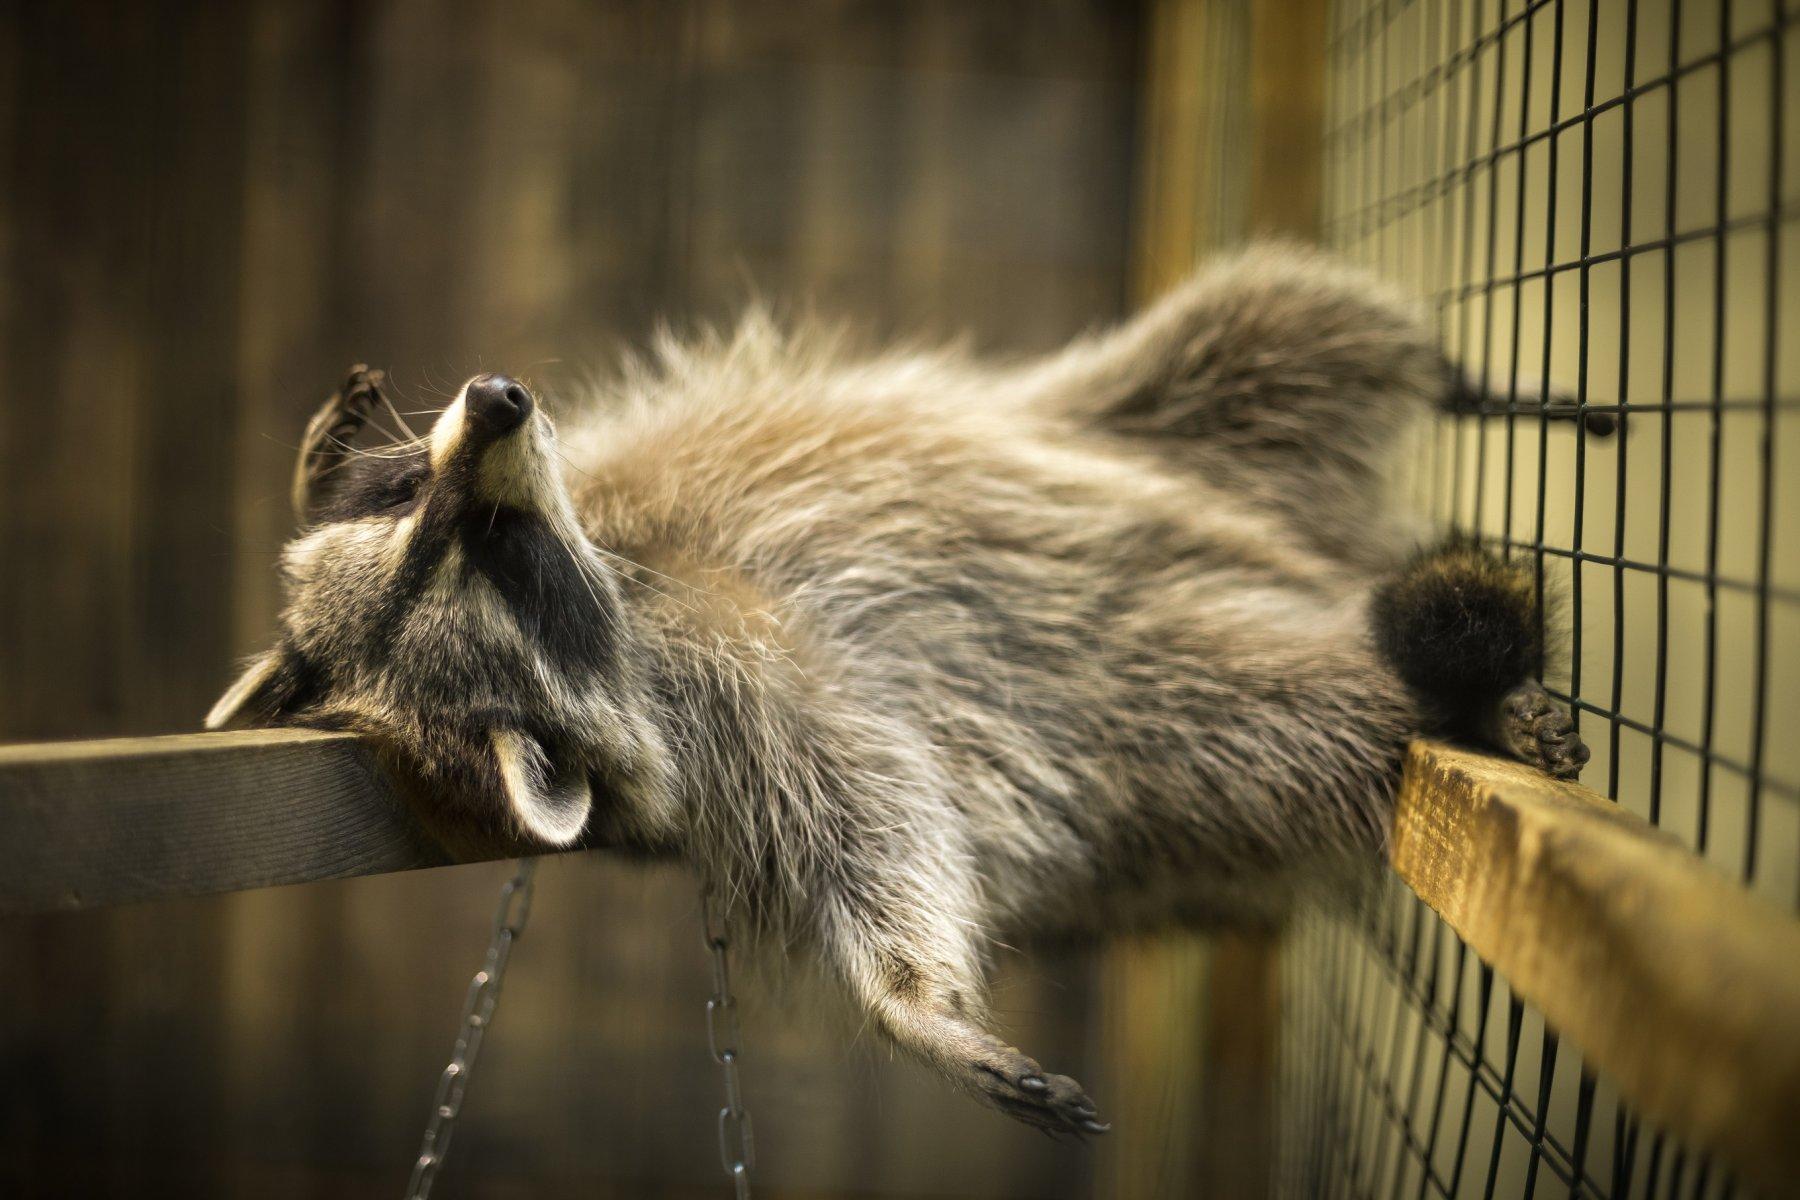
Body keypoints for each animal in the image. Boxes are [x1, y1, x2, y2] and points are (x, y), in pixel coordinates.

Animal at [207, 241, 1591, 1137]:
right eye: (492, 555)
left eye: (421, 503)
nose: (497, 398)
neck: (629, 564)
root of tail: (1317, 552)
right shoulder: (739, 708)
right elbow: (871, 815)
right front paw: (914, 1004)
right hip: (1184, 717)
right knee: (1311, 713)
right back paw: (1455, 704)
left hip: (1151, 423)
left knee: (1278, 326)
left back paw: (1457, 372)